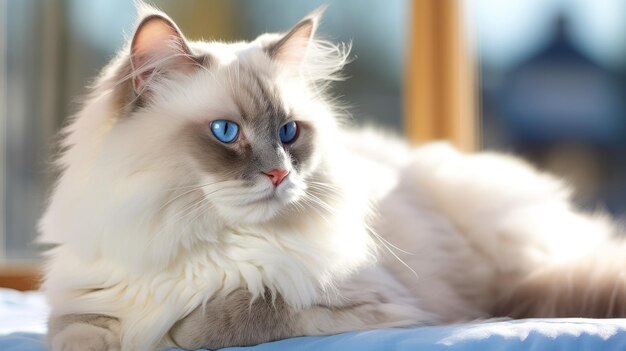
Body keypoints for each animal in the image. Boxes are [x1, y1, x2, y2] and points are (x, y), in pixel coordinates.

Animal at [40, 3, 624, 351]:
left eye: (290, 131)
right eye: (226, 132)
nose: (279, 173)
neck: (199, 239)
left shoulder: (360, 305)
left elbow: (232, 312)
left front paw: (172, 332)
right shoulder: (83, 308)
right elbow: (79, 338)